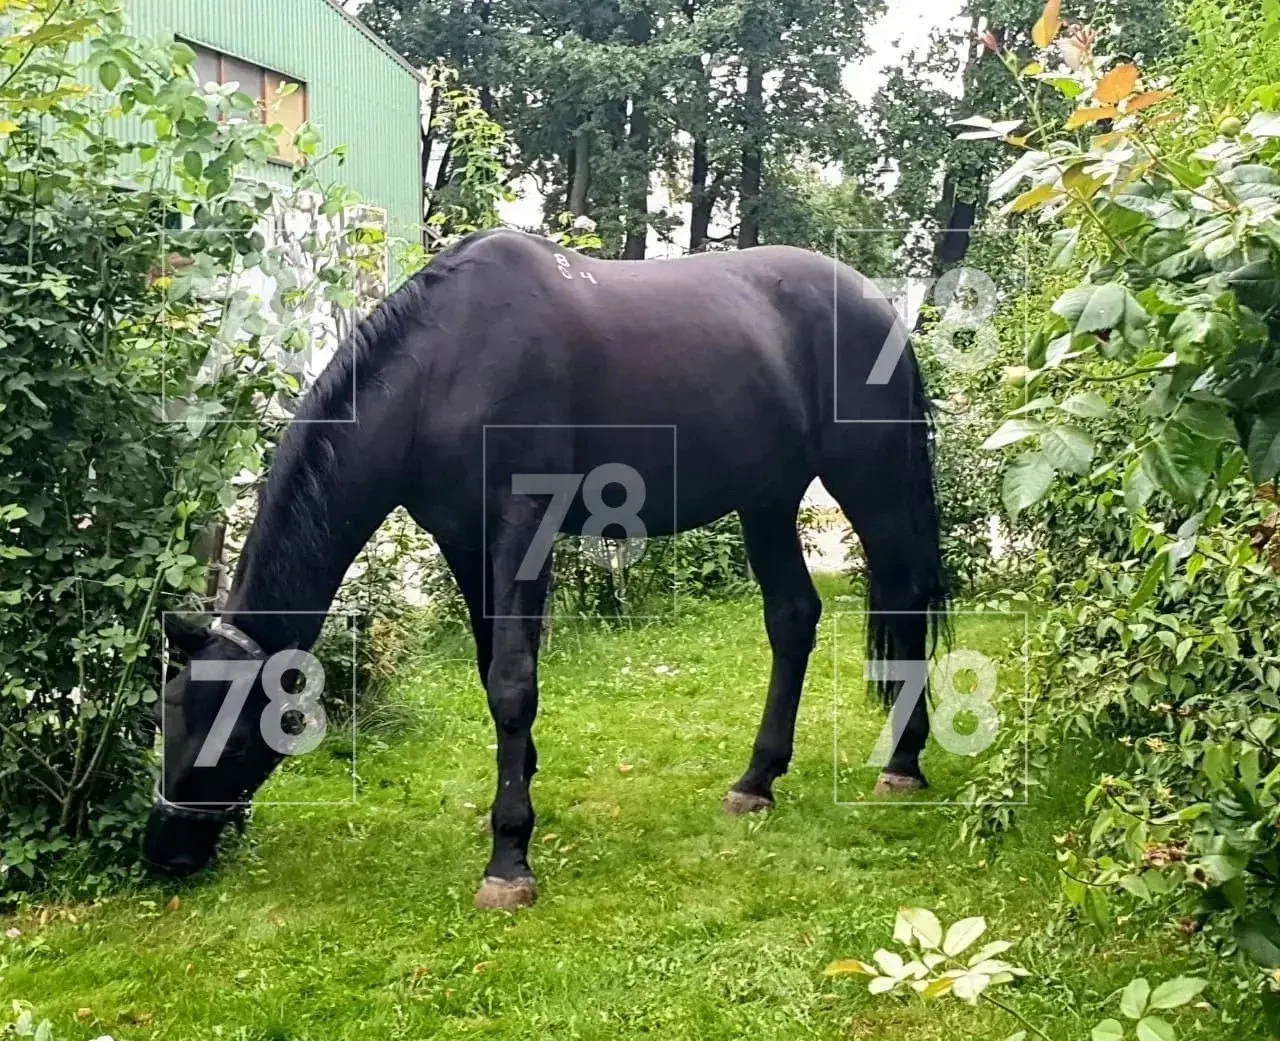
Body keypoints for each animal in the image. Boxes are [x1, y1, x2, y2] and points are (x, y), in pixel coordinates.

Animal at [145, 228, 949, 909]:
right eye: (168, 714)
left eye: (235, 737)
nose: (164, 852)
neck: (446, 365)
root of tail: (876, 302)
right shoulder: (464, 538)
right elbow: (488, 668)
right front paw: (515, 801)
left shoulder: (521, 527)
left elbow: (511, 681)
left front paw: (509, 859)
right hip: (767, 498)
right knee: (792, 617)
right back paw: (756, 780)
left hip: (870, 483)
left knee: (905, 597)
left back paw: (904, 762)